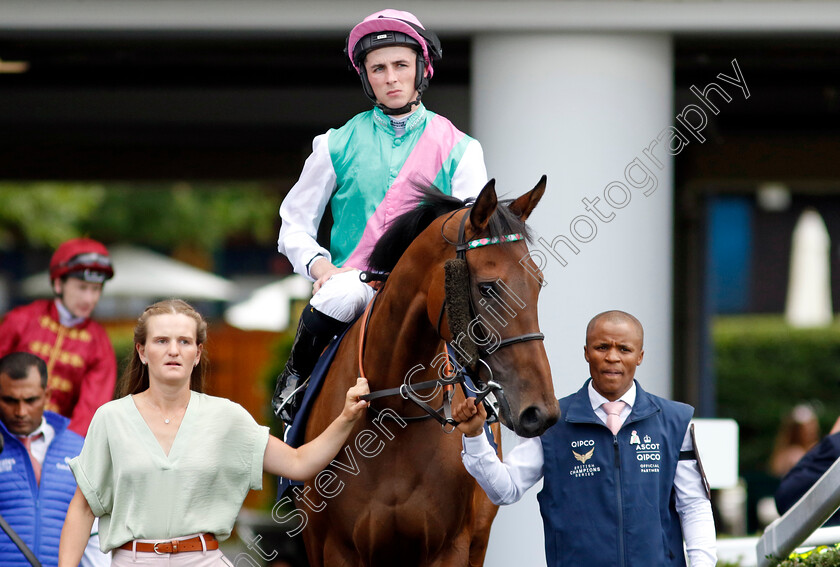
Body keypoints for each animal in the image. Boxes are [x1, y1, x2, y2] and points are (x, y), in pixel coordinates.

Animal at [302, 175, 556, 564]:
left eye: (538, 281)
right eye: (487, 287)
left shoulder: (451, 546)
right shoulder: (338, 549)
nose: (539, 411)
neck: (395, 414)